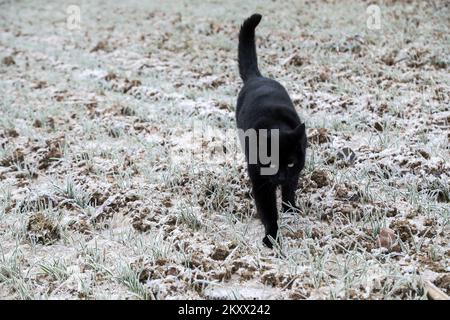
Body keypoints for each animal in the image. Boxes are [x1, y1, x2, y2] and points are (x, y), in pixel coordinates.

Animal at [236, 13, 306, 249]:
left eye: (290, 162)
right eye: (271, 163)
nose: (281, 176)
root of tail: (257, 77)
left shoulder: (297, 168)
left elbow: (289, 190)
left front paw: (290, 210)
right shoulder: (260, 183)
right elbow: (268, 212)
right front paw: (271, 239)